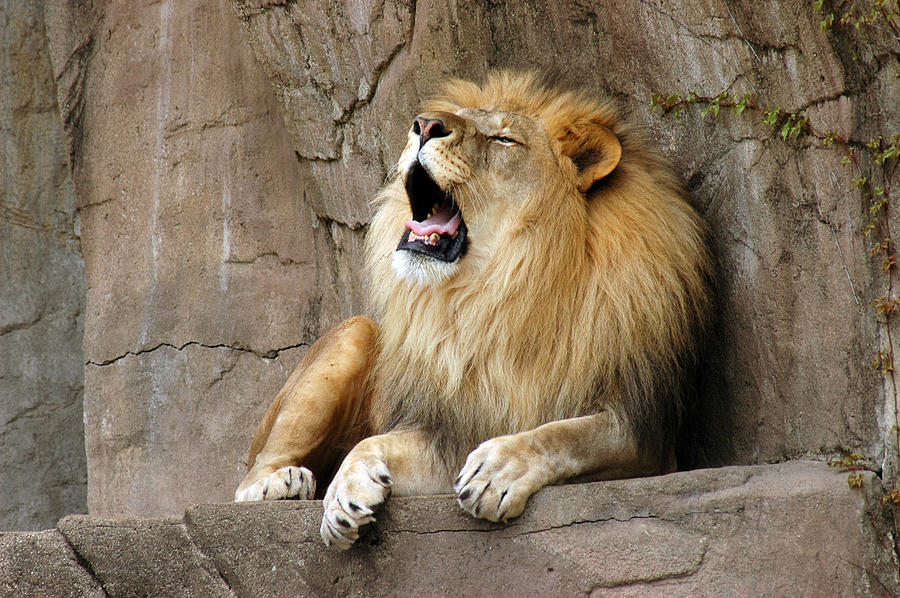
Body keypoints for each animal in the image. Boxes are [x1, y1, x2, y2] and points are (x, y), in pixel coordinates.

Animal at [236, 71, 712, 552]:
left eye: (504, 138)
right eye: (449, 118)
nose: (425, 125)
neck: (498, 295)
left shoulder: (644, 431)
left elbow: (568, 435)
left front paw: (497, 470)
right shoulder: (452, 426)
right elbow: (372, 442)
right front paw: (343, 494)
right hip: (357, 332)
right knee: (246, 479)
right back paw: (280, 482)